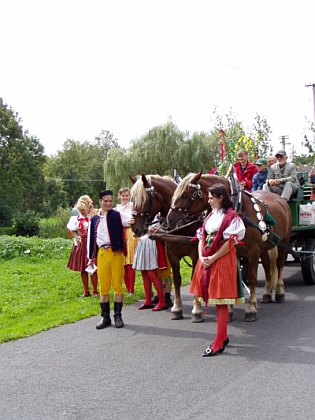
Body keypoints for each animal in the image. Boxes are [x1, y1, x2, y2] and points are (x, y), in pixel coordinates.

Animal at [128, 174, 205, 322]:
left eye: (145, 199)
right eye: (132, 199)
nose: (135, 229)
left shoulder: (195, 255)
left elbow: (194, 279)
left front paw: (197, 309)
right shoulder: (171, 254)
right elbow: (176, 279)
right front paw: (177, 308)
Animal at [168, 171, 294, 322]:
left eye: (185, 195)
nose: (169, 219)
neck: (239, 208)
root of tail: (280, 199)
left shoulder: (253, 251)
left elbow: (252, 279)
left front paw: (251, 309)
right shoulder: (234, 250)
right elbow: (231, 278)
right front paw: (228, 311)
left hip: (283, 242)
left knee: (279, 264)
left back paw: (280, 292)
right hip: (265, 248)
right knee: (267, 266)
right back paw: (267, 294)